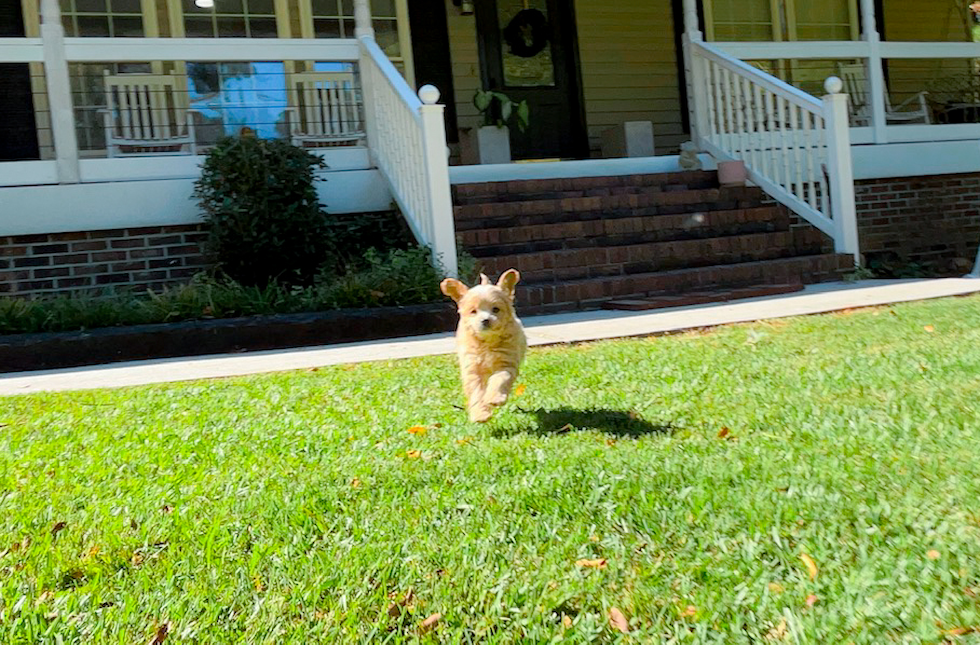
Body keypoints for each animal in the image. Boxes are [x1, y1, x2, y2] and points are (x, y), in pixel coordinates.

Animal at [438, 268, 524, 422]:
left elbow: (499, 379)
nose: (485, 320)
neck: (487, 342)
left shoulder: (506, 363)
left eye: (496, 309)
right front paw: (480, 413)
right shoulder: (473, 369)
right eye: (473, 311)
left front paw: (495, 397)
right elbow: (476, 392)